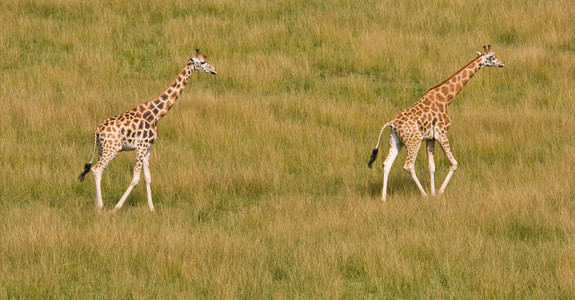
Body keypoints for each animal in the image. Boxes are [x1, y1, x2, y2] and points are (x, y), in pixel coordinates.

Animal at [77, 49, 217, 211]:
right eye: (202, 62)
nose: (214, 70)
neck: (156, 115)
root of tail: (97, 131)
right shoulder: (141, 146)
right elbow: (135, 179)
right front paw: (117, 208)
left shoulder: (148, 147)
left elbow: (148, 178)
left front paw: (152, 209)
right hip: (113, 149)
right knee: (96, 169)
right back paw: (101, 206)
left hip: (102, 149)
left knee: (99, 171)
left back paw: (96, 205)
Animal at [368, 44, 504, 202]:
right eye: (493, 57)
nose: (502, 64)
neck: (445, 99)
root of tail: (392, 123)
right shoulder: (441, 133)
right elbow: (454, 163)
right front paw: (438, 192)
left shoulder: (430, 138)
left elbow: (431, 167)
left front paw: (433, 193)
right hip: (413, 142)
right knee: (408, 166)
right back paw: (423, 194)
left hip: (396, 142)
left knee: (386, 164)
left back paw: (383, 198)